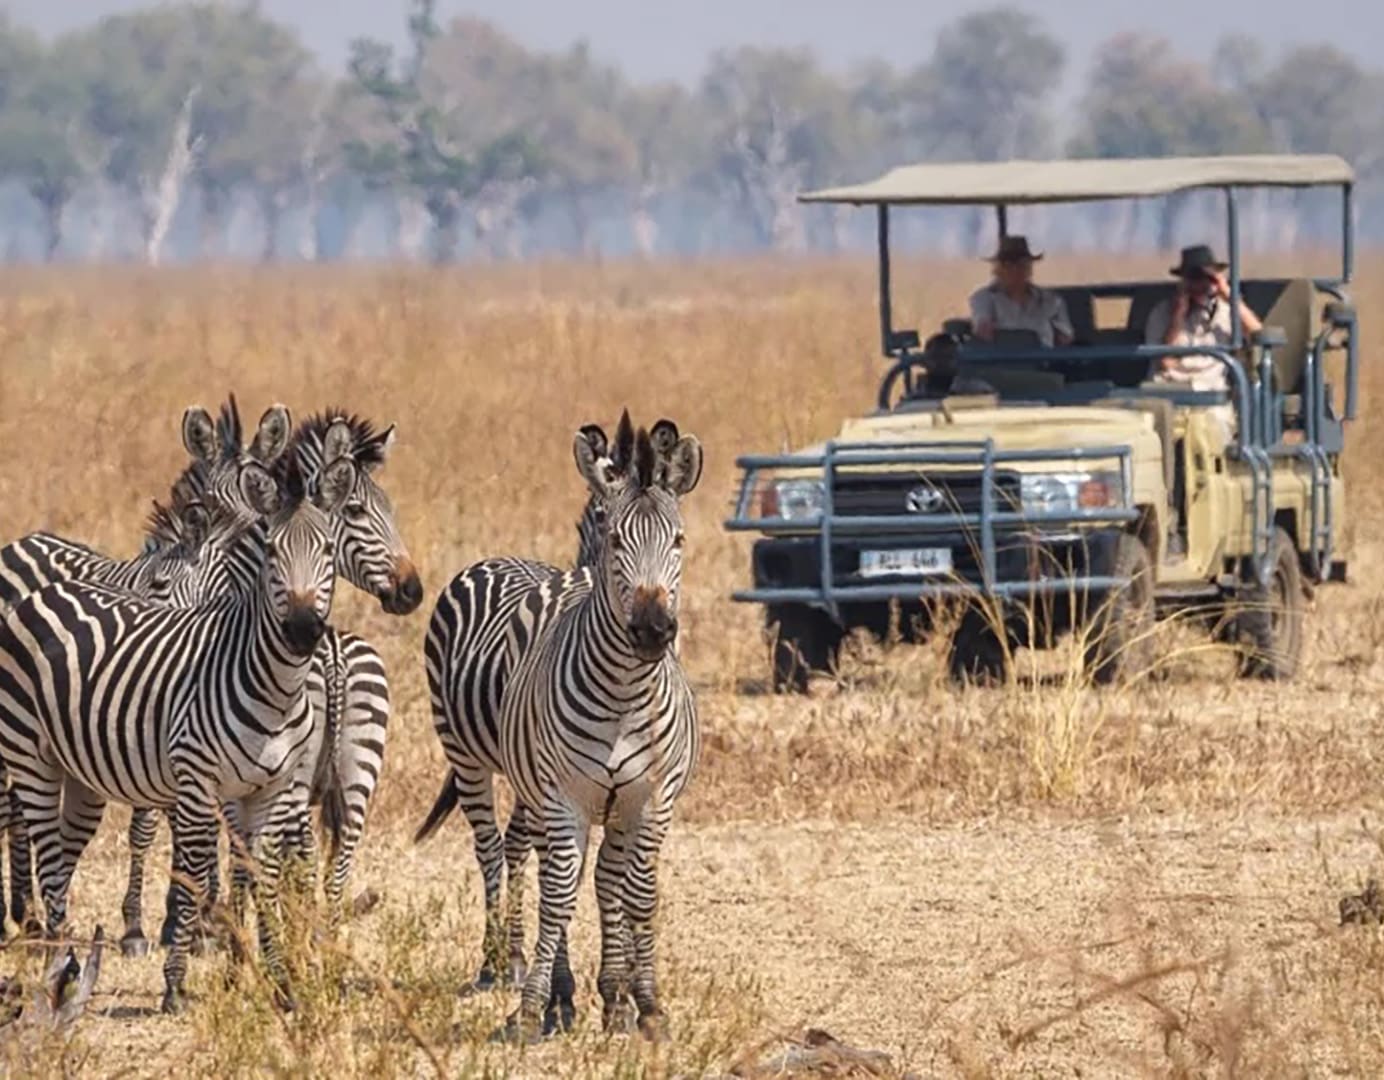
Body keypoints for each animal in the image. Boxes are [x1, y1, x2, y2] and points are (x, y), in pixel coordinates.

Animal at [0, 447, 357, 1013]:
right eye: (272, 553)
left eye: (326, 550)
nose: (303, 631)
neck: (275, 688)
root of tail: (44, 592)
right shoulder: (195, 784)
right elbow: (190, 877)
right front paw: (174, 983)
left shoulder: (273, 788)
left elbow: (264, 881)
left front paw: (281, 984)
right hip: (29, 756)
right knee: (46, 853)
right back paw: (55, 965)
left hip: (79, 774)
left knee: (61, 853)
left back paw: (65, 959)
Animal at [418, 414, 683, 1006]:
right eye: (603, 523)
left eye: (677, 539)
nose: (652, 628)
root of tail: (495, 559)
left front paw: (617, 980)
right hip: (464, 754)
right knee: (491, 847)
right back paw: (495, 961)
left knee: (518, 844)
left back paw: (517, 957)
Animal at [492, 414, 702, 1042]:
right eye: (616, 541)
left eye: (679, 541)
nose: (654, 630)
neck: (624, 695)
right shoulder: (564, 798)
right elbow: (558, 897)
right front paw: (531, 1007)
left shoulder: (651, 799)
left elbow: (640, 895)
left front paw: (648, 1004)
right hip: (546, 800)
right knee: (556, 870)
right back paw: (570, 996)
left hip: (619, 809)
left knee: (611, 878)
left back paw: (615, 996)